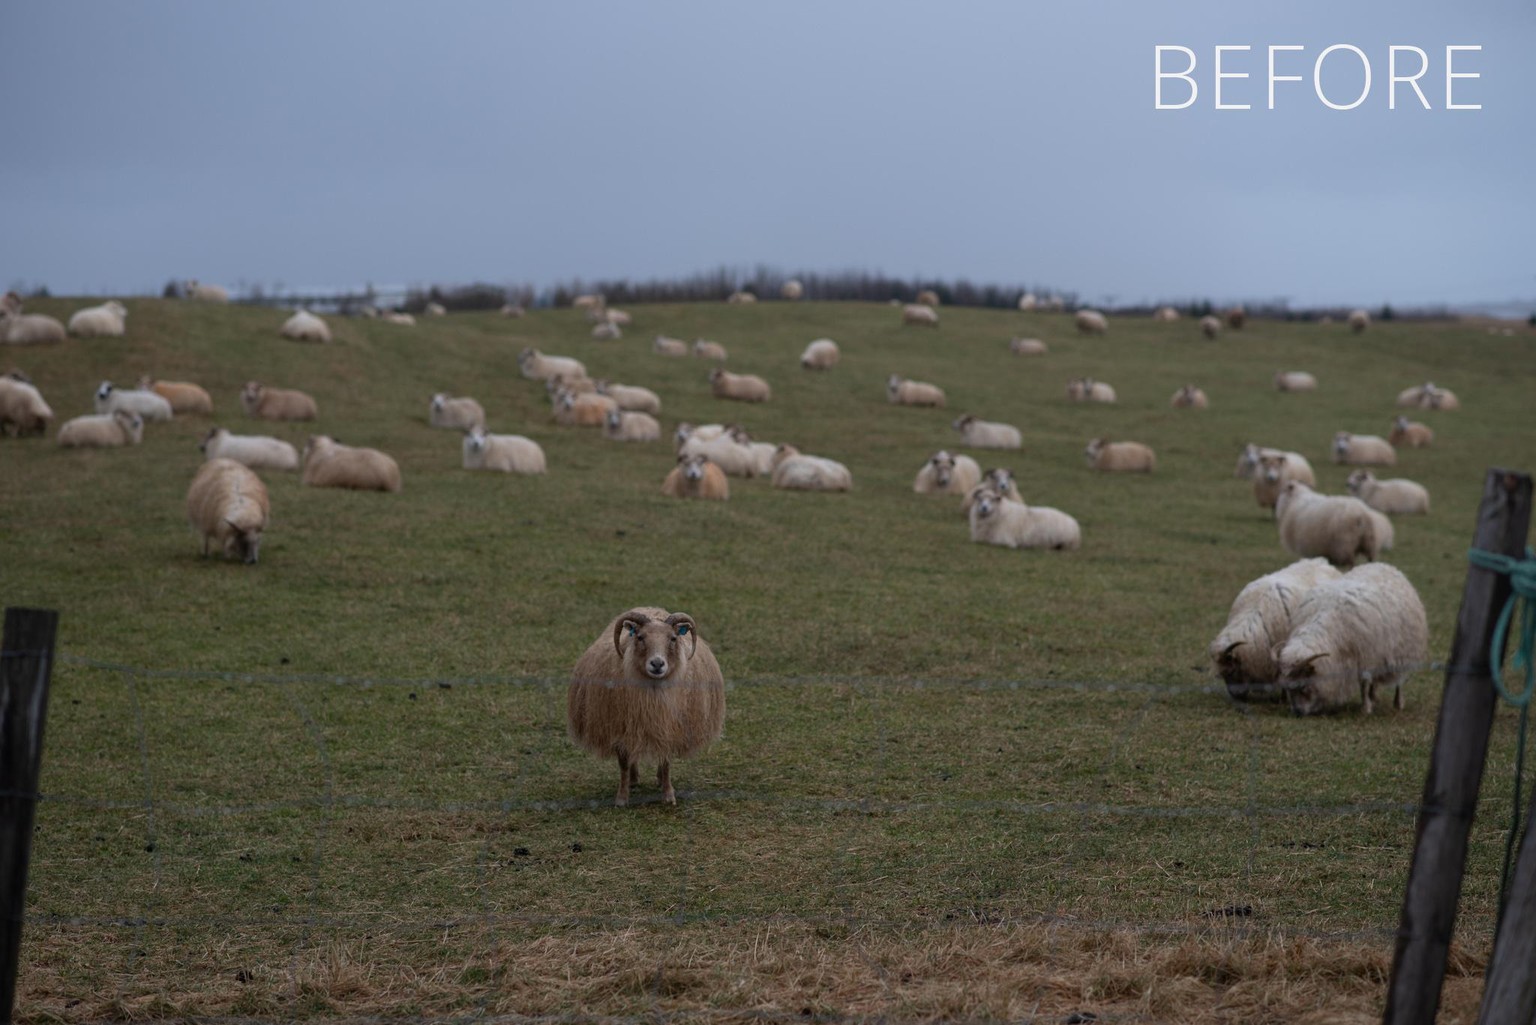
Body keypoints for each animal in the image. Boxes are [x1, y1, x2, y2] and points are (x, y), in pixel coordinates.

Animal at [567, 606, 725, 806]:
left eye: (673, 638)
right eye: (640, 637)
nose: (657, 663)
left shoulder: (668, 728)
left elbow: (666, 763)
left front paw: (668, 794)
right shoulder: (620, 728)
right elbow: (624, 764)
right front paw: (622, 797)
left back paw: (658, 779)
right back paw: (633, 780)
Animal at [1276, 564, 1428, 715]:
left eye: (1303, 687)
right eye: (1288, 688)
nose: (1298, 712)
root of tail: (1385, 566)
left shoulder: (1365, 658)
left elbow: (1364, 685)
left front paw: (1365, 708)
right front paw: (1369, 702)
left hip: (1403, 651)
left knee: (1400, 680)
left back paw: (1398, 703)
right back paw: (1375, 697)